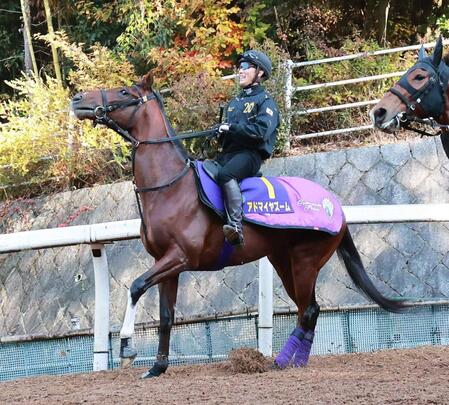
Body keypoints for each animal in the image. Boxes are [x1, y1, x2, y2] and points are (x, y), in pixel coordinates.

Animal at [71, 72, 402, 378]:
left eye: (123, 91)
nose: (77, 99)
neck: (170, 188)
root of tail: (336, 207)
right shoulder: (166, 264)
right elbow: (166, 316)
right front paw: (157, 367)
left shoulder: (181, 257)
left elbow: (136, 286)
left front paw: (127, 345)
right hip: (285, 263)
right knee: (309, 309)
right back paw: (297, 361)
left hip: (306, 262)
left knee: (307, 310)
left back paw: (282, 361)